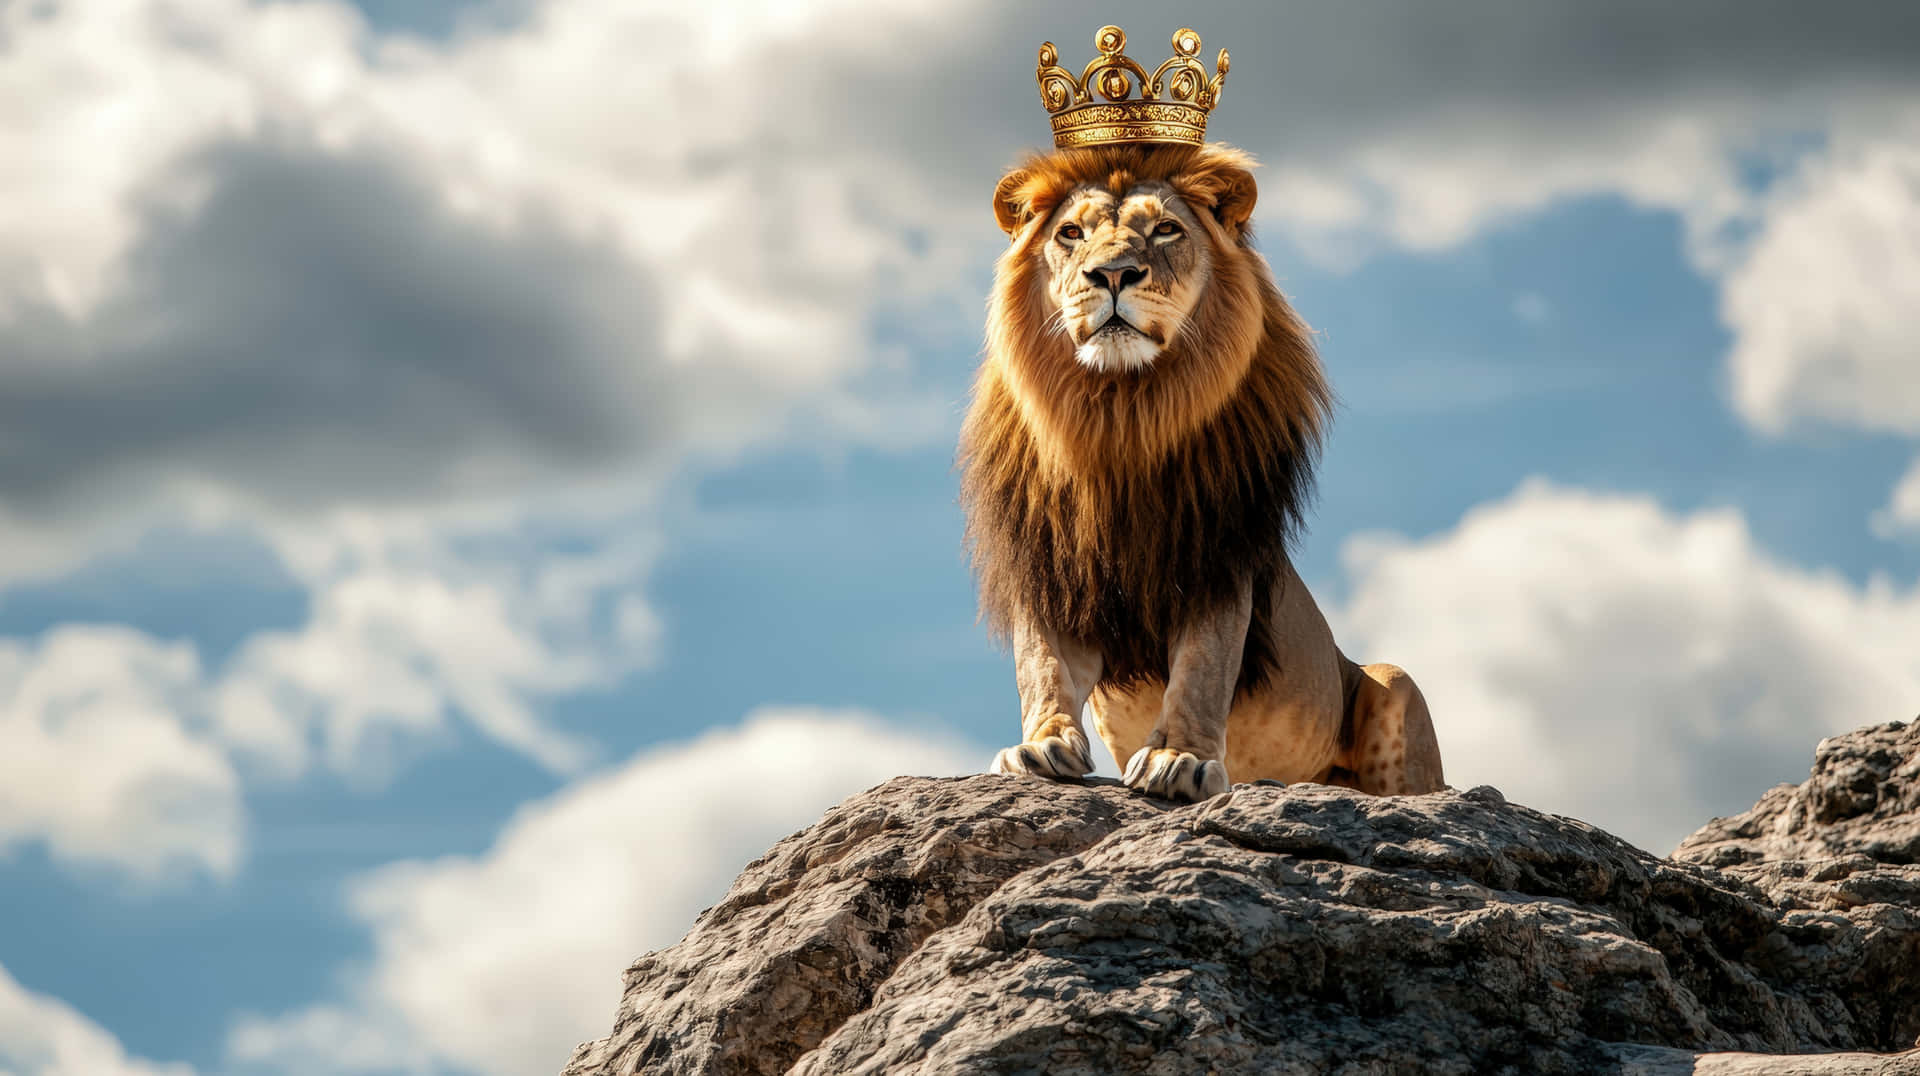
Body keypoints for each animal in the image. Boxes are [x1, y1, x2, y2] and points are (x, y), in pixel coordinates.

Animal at [960, 141, 1444, 803]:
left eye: (1166, 230)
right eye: (1070, 233)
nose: (1112, 275)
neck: (1117, 423)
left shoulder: (1216, 559)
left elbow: (1201, 669)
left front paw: (1179, 760)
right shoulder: (1051, 569)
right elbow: (1042, 666)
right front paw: (1038, 747)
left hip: (1396, 684)